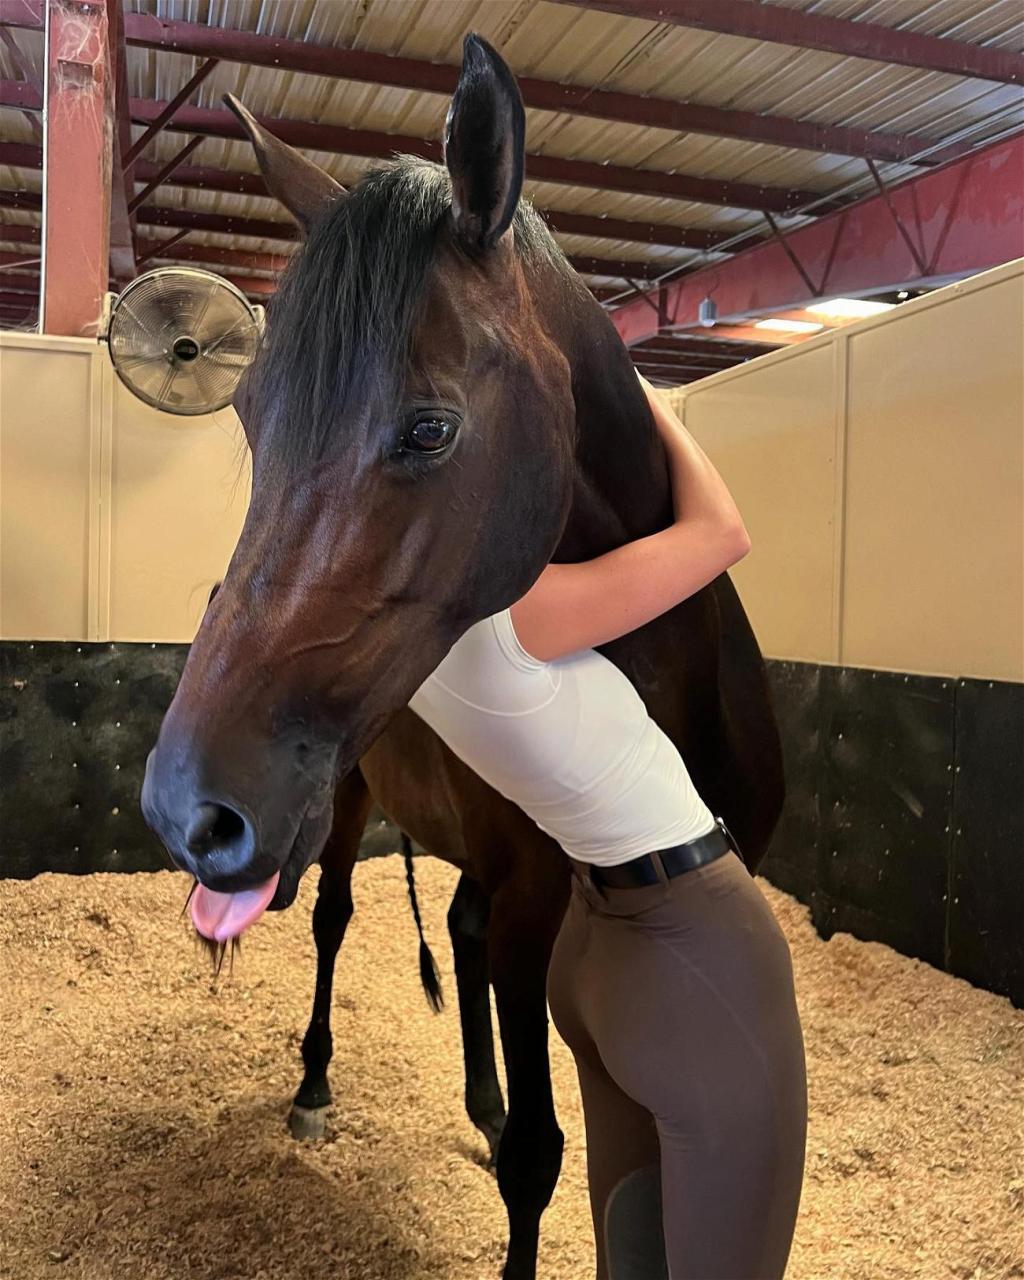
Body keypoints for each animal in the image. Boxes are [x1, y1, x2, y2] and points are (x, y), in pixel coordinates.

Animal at [142, 32, 783, 1280]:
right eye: (247, 413)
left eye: (430, 427)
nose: (187, 808)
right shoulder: (535, 909)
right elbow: (545, 1151)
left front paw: (494, 1112)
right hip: (346, 808)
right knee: (341, 917)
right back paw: (316, 1087)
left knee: (458, 929)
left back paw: (474, 1100)